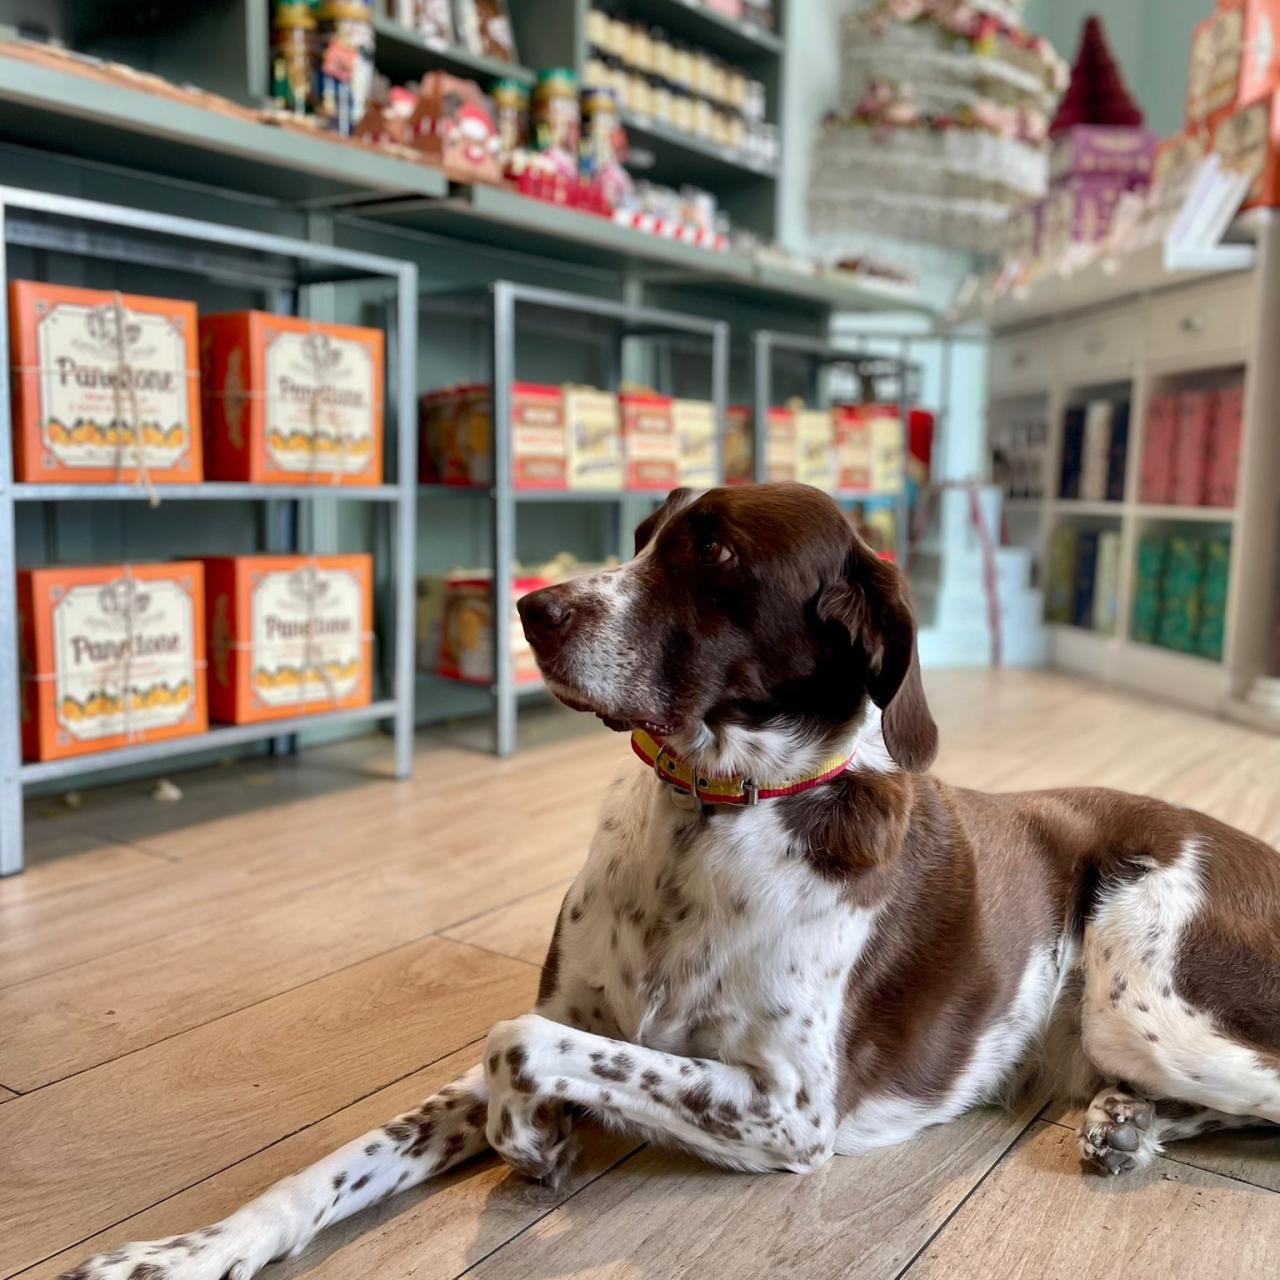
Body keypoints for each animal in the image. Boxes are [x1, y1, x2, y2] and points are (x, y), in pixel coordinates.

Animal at [64, 481, 1280, 1280]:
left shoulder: (790, 1109)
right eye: (645, 535)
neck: (709, 815)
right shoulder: (574, 1040)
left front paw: (536, 1141)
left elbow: (518, 1042)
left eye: (720, 555)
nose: (530, 606)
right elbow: (344, 1156)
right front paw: (187, 1252)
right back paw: (1122, 1125)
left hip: (1143, 995)